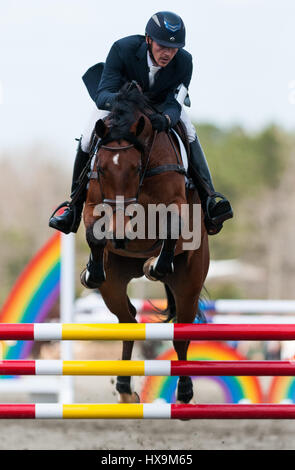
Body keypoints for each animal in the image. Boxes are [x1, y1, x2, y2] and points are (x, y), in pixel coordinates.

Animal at [81, 83, 210, 404]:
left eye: (134, 168)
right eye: (101, 168)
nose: (119, 234)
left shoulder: (175, 205)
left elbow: (172, 227)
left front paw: (156, 264)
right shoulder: (93, 203)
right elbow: (94, 233)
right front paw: (92, 271)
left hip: (189, 284)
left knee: (181, 333)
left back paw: (184, 391)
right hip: (114, 285)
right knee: (128, 321)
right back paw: (125, 388)